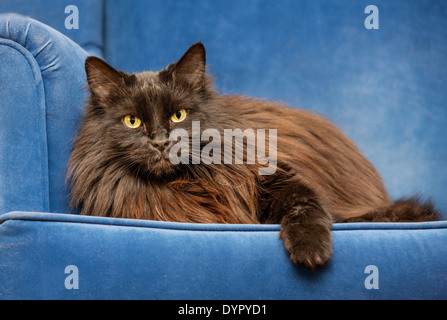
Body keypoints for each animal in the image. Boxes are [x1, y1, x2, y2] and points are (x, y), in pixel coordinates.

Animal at [67, 41, 440, 268]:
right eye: (132, 121)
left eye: (178, 115)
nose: (160, 142)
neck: (187, 187)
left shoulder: (275, 176)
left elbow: (303, 205)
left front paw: (310, 250)